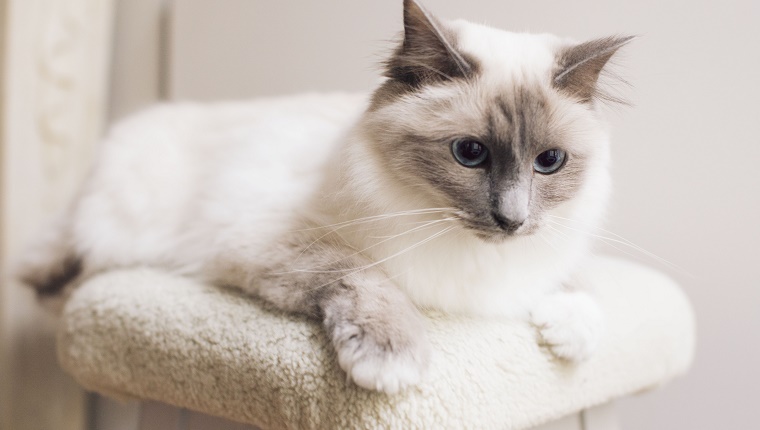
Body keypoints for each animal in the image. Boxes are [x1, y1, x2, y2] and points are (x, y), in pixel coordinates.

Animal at [20, 0, 632, 394]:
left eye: (549, 162)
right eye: (470, 153)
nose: (512, 220)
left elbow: (580, 282)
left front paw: (571, 334)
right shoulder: (279, 243)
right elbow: (367, 280)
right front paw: (392, 364)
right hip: (119, 232)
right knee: (59, 268)